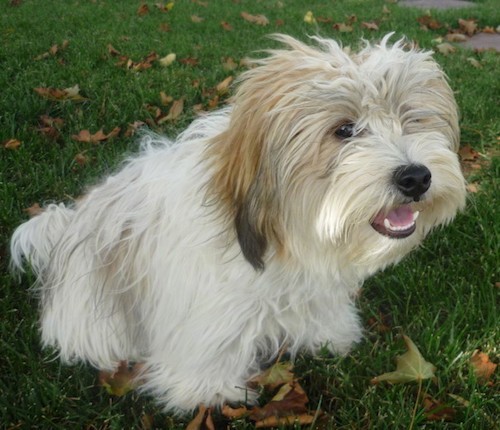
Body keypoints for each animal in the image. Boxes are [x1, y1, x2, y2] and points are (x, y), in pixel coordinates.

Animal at [10, 35, 464, 412]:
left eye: (411, 119)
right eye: (345, 129)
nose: (416, 177)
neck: (283, 233)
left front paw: (329, 335)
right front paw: (207, 391)